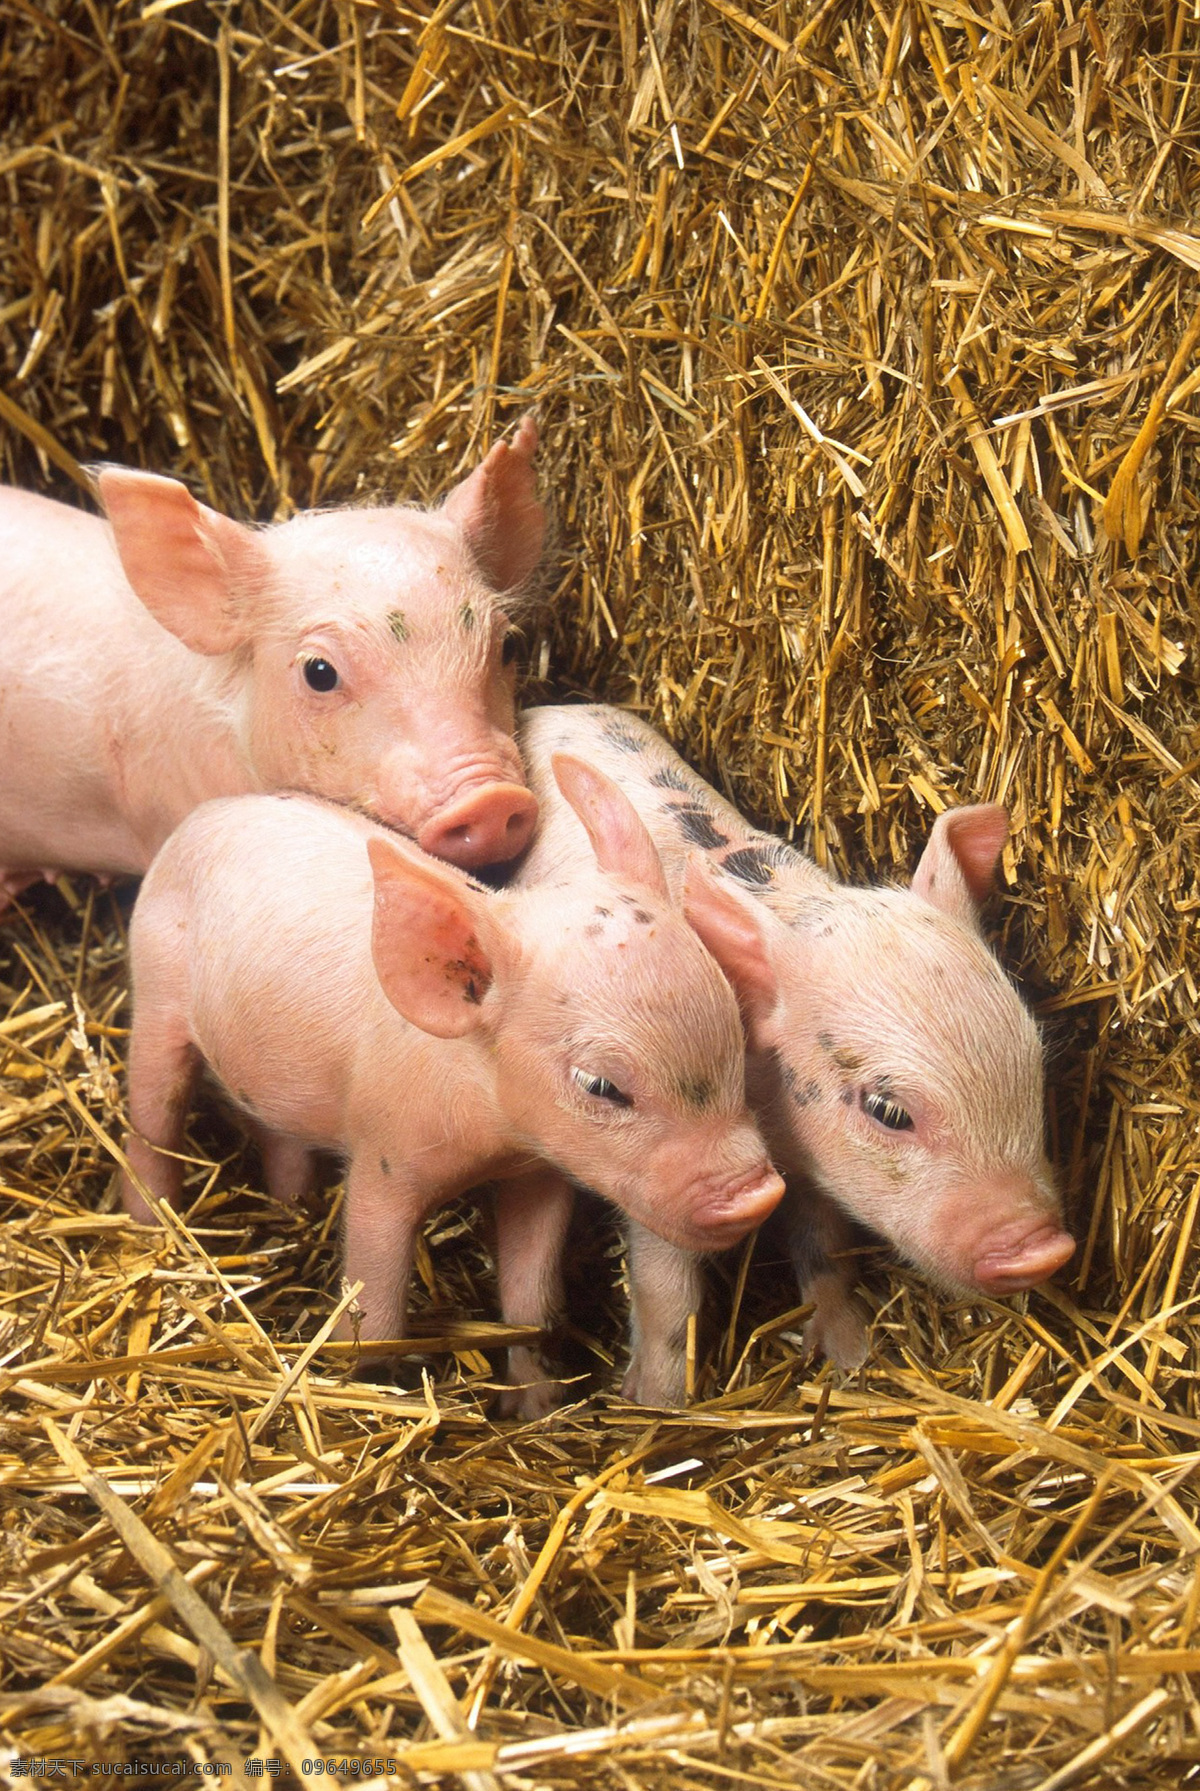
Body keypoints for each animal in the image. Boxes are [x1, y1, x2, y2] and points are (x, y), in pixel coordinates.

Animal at [119, 758, 787, 1419]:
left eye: (733, 1030)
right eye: (600, 1084)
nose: (758, 1193)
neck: (491, 1137)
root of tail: (206, 814)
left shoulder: (537, 1173)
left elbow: (530, 1296)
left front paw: (536, 1407)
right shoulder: (383, 1157)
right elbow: (376, 1292)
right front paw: (375, 1386)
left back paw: (292, 1202)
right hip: (155, 991)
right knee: (152, 1116)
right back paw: (152, 1222)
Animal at [506, 703, 1074, 1406]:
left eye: (1034, 1065)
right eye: (889, 1110)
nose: (1046, 1250)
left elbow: (822, 1246)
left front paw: (851, 1358)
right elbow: (667, 1281)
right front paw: (656, 1403)